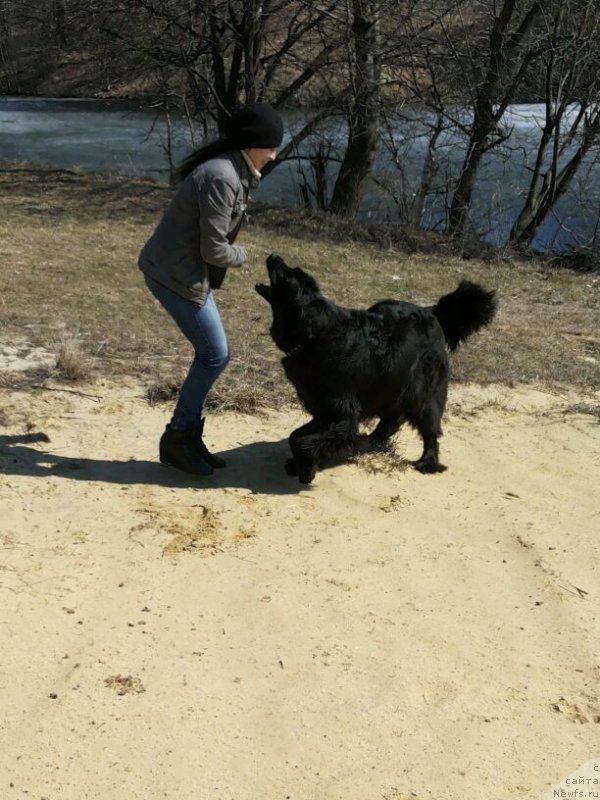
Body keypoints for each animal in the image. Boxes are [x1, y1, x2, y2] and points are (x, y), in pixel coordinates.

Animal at [255, 253, 500, 484]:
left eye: (286, 275)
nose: (274, 255)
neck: (316, 335)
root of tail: (431, 312)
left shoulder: (343, 415)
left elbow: (302, 440)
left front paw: (306, 470)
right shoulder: (324, 410)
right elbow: (296, 436)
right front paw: (301, 464)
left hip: (424, 394)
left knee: (429, 430)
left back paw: (428, 462)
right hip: (391, 385)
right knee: (390, 421)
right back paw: (369, 443)